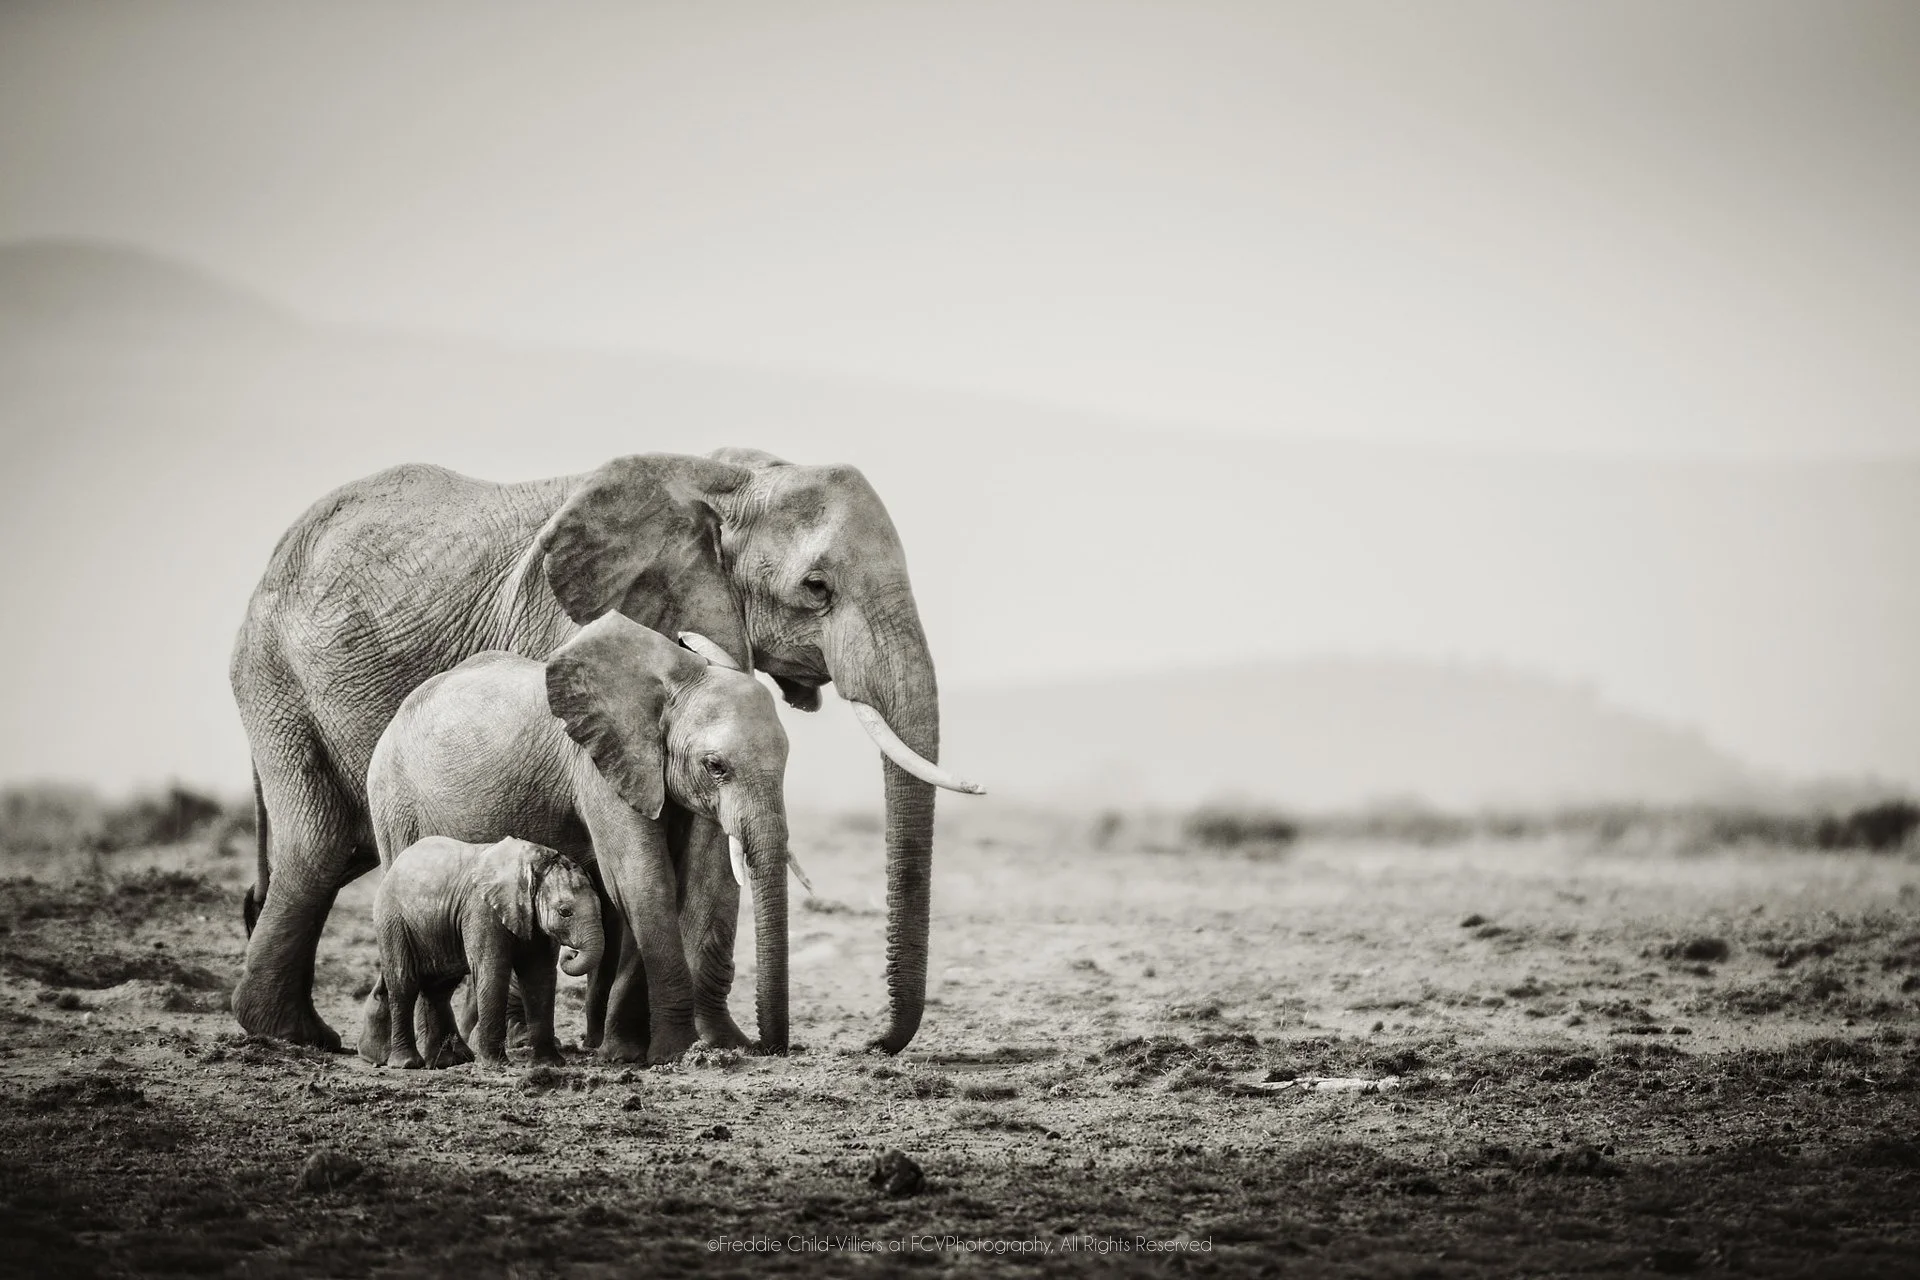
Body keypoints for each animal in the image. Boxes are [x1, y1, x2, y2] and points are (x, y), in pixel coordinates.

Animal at [363, 835, 603, 1070]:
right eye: (565, 912)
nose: (570, 954)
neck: (532, 865)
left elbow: (539, 977)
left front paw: (550, 1064)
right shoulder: (482, 911)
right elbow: (493, 971)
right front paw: (496, 1064)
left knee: (440, 988)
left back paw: (446, 1062)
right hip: (393, 920)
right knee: (404, 983)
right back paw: (407, 1063)